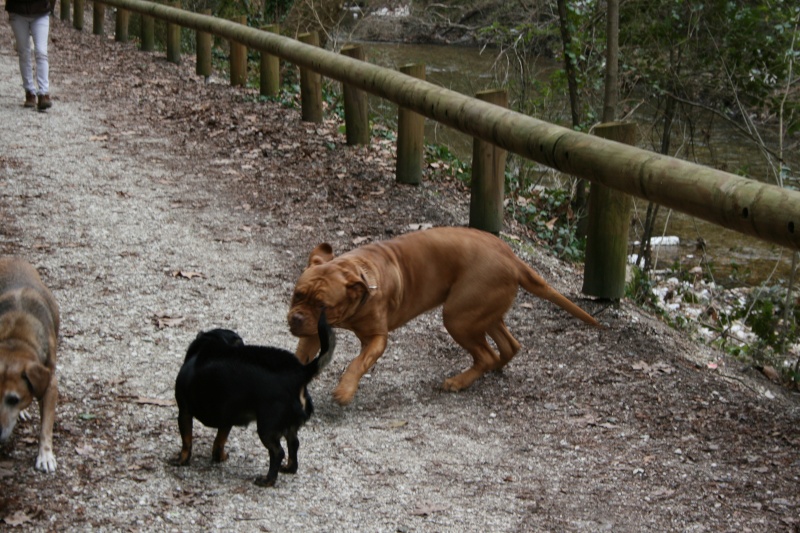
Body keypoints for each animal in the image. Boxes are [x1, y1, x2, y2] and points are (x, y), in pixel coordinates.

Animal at [173, 312, 336, 486]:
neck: (209, 343)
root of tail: (300, 373)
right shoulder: (226, 419)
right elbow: (219, 441)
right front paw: (219, 457)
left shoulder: (184, 412)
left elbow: (187, 442)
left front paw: (181, 460)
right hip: (288, 426)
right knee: (293, 444)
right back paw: (288, 468)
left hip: (266, 428)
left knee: (278, 452)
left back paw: (268, 480)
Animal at [290, 224, 600, 404]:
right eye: (297, 295)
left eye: (324, 305)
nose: (296, 318)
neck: (356, 271)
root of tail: (513, 258)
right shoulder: (313, 334)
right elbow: (301, 355)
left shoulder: (376, 338)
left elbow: (357, 363)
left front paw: (344, 391)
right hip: (481, 312)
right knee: (507, 346)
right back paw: (488, 369)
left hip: (458, 317)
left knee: (486, 353)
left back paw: (460, 381)